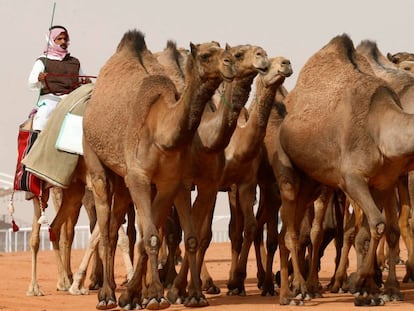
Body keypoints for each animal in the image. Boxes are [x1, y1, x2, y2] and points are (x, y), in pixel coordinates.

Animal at [81, 29, 236, 311]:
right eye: (206, 55)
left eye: (224, 49)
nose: (230, 62)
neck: (162, 131)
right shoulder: (139, 177)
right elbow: (151, 236)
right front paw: (153, 295)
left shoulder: (167, 181)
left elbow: (150, 237)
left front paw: (145, 295)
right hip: (95, 159)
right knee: (106, 226)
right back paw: (106, 295)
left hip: (122, 179)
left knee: (115, 226)